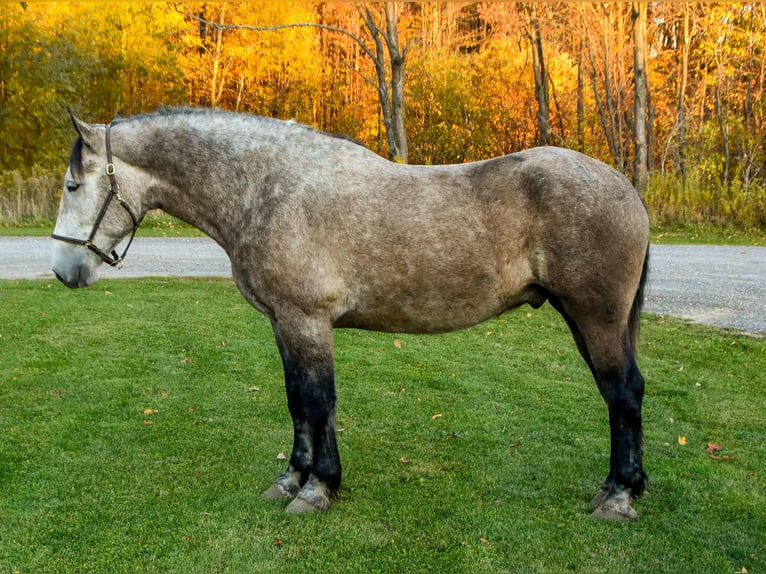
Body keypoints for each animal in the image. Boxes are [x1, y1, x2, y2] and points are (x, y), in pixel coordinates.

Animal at [52, 108, 656, 520]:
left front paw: (318, 489)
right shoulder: (285, 323)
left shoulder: (307, 320)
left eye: (73, 184)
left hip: (596, 317)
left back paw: (619, 497)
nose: (62, 270)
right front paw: (292, 480)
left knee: (623, 394)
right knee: (617, 397)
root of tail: (626, 188)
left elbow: (317, 402)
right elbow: (299, 403)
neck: (267, 189)